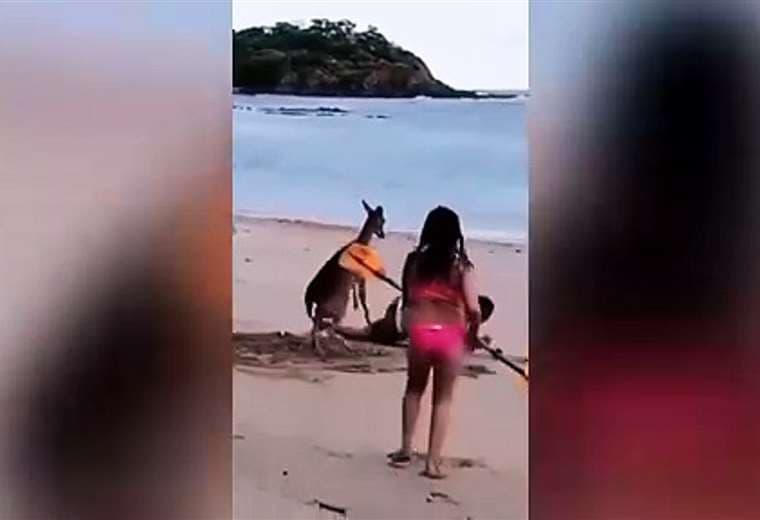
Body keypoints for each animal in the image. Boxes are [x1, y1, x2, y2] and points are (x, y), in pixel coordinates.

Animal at [304, 200, 386, 356]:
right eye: (383, 219)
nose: (383, 234)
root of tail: (310, 299)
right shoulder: (360, 277)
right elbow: (364, 300)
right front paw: (369, 323)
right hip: (339, 311)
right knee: (327, 328)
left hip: (326, 312)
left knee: (318, 325)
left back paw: (318, 347)